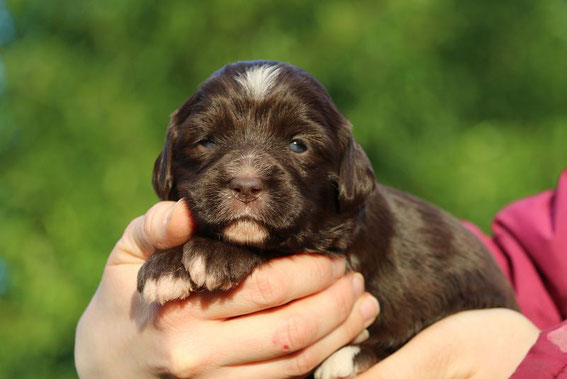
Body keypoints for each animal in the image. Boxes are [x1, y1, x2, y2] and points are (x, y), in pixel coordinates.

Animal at [138, 60, 520, 378]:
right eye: (207, 141)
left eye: (298, 145)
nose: (246, 184)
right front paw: (165, 266)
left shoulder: (339, 244)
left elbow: (281, 243)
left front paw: (214, 254)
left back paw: (349, 357)